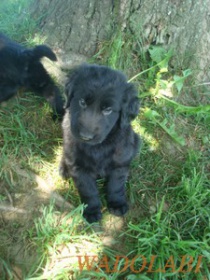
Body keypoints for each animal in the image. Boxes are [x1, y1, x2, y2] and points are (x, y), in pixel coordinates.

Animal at [59, 64, 140, 223]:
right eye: (82, 102)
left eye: (108, 110)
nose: (85, 136)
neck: (99, 147)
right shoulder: (79, 167)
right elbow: (88, 190)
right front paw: (91, 210)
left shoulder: (119, 163)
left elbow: (116, 186)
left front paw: (117, 204)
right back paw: (64, 168)